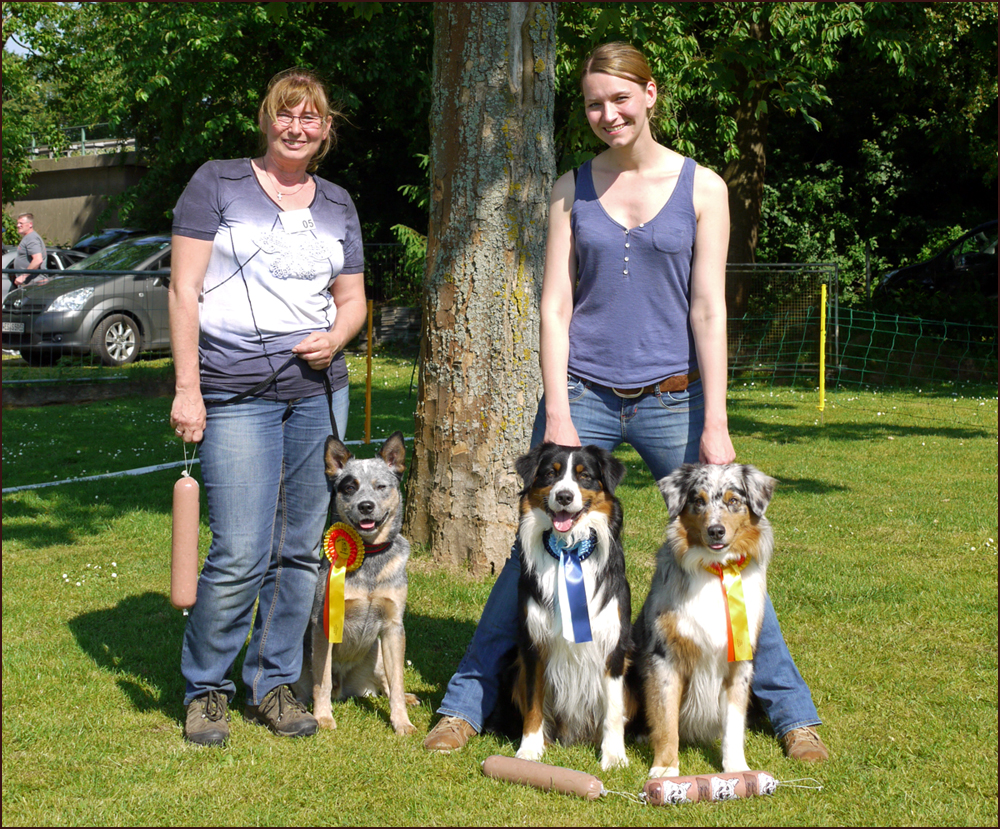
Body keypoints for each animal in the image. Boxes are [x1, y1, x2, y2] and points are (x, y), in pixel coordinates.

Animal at [295, 431, 417, 736]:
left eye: (381, 486)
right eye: (350, 487)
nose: (366, 506)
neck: (368, 557)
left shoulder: (393, 626)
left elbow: (397, 682)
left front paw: (401, 722)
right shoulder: (323, 624)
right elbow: (322, 680)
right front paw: (323, 717)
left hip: (378, 656)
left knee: (389, 684)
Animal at [510, 442, 633, 770]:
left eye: (584, 476)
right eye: (550, 474)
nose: (564, 496)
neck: (568, 548)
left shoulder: (613, 646)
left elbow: (613, 709)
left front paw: (614, 755)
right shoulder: (533, 645)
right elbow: (533, 703)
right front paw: (530, 750)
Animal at [630, 462, 776, 778]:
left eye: (734, 501)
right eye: (699, 501)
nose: (716, 531)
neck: (715, 570)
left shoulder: (739, 662)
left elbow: (734, 723)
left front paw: (737, 768)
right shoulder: (665, 657)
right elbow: (666, 720)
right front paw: (665, 768)